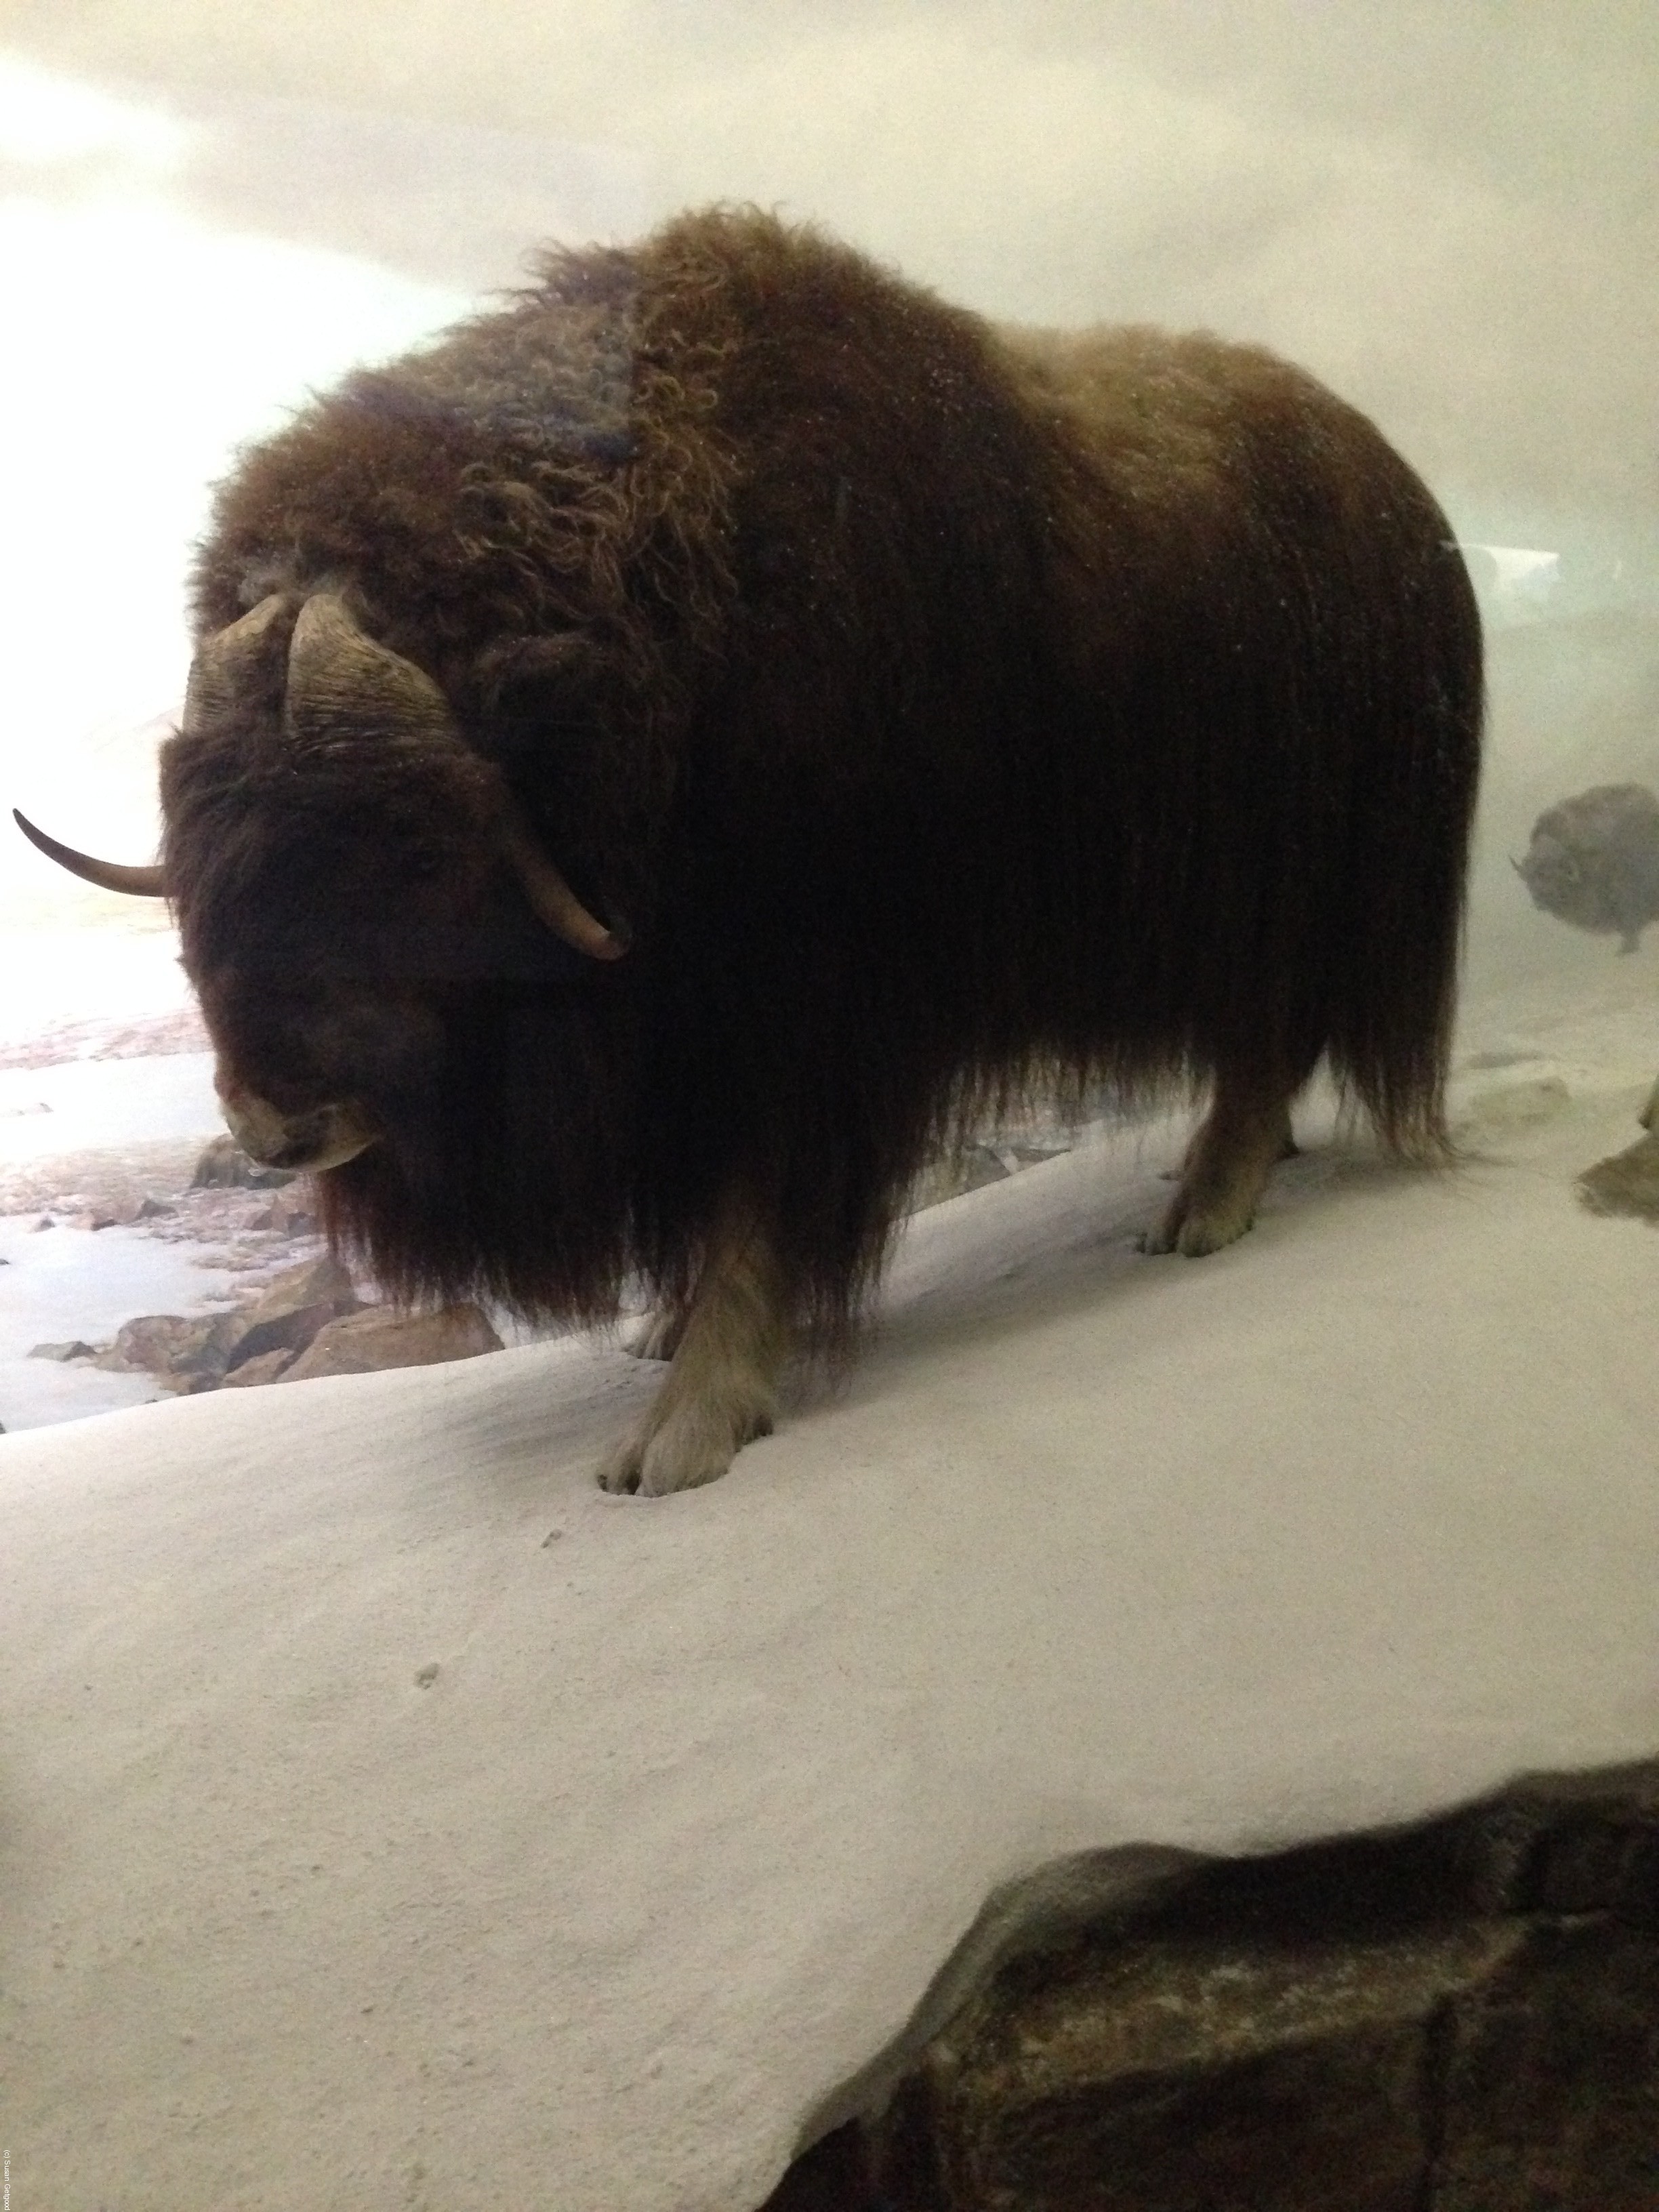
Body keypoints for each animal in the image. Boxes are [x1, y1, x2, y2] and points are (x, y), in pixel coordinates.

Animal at [17, 208, 1483, 1493]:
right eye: (204, 845)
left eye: (410, 850)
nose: (279, 1126)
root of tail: (1409, 503)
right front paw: (664, 1333)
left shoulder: (797, 1010)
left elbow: (753, 1207)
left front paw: (681, 1429)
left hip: (1295, 882)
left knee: (1264, 1033)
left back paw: (1200, 1210)